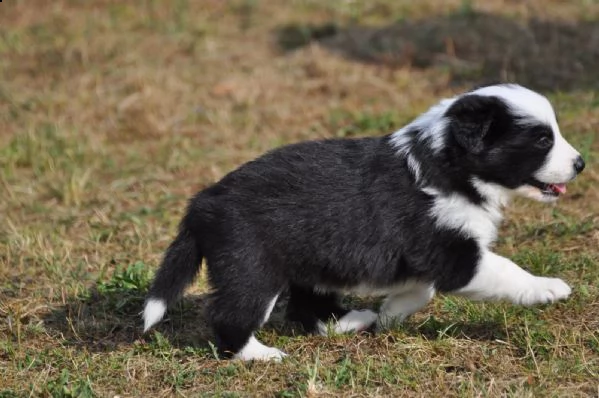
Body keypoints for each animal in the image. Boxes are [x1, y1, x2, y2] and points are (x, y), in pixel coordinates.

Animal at [142, 83, 584, 360]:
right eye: (542, 140)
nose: (581, 163)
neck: (449, 164)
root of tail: (202, 202)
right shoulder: (451, 252)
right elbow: (505, 270)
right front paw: (547, 288)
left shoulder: (426, 253)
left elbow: (422, 290)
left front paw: (391, 312)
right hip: (251, 267)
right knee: (231, 315)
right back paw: (258, 355)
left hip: (309, 257)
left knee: (305, 306)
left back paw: (350, 320)